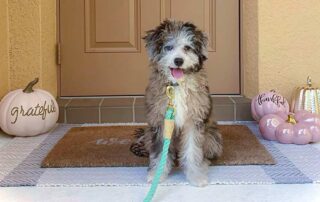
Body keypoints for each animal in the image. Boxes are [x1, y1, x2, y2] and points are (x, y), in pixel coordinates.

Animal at [134, 19, 221, 187]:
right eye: (168, 47)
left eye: (187, 47)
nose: (178, 61)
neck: (177, 85)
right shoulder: (161, 121)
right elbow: (160, 152)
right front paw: (157, 174)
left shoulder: (194, 120)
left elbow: (193, 151)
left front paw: (196, 176)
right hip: (148, 134)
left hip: (212, 136)